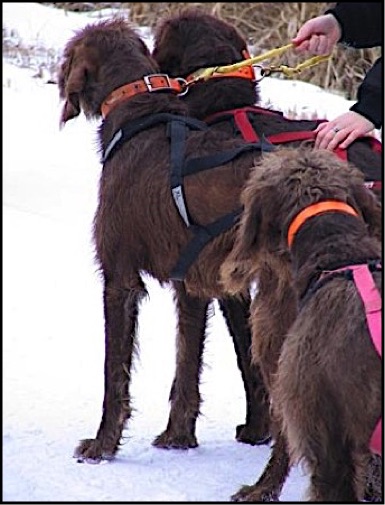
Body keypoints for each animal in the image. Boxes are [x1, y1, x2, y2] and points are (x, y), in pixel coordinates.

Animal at [57, 17, 276, 460]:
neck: (140, 112)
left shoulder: (120, 278)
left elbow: (114, 372)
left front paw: (103, 445)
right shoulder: (192, 285)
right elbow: (187, 364)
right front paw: (179, 437)